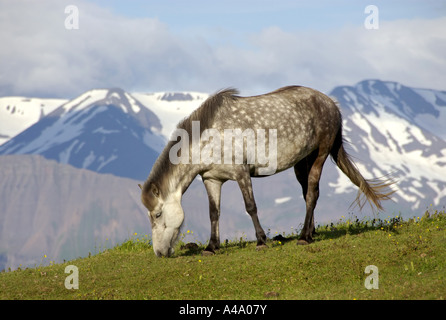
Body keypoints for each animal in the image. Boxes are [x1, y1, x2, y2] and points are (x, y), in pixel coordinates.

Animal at [140, 86, 394, 256]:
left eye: (158, 215)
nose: (160, 253)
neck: (210, 138)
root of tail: (332, 104)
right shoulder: (212, 180)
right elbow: (214, 213)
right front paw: (211, 247)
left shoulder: (242, 174)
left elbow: (250, 207)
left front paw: (261, 241)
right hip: (302, 163)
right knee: (309, 195)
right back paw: (310, 232)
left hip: (319, 157)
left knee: (312, 194)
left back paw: (304, 238)